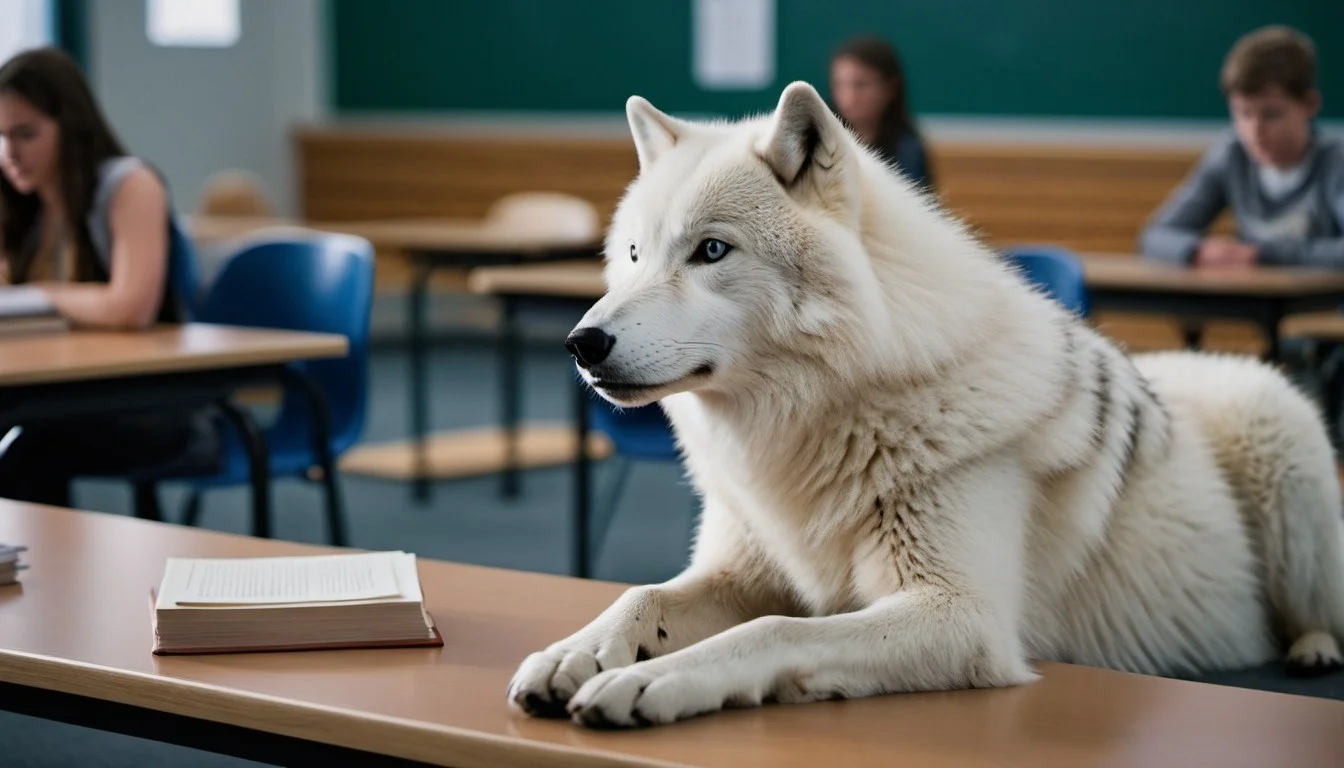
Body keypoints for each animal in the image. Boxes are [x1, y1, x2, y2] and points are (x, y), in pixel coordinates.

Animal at [507, 81, 1344, 728]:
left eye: (711, 251)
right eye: (634, 255)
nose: (582, 343)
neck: (815, 427)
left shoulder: (963, 616)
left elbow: (773, 631)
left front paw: (650, 680)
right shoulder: (743, 568)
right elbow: (641, 595)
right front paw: (576, 654)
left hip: (1279, 441)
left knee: (1318, 607)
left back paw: (1313, 649)